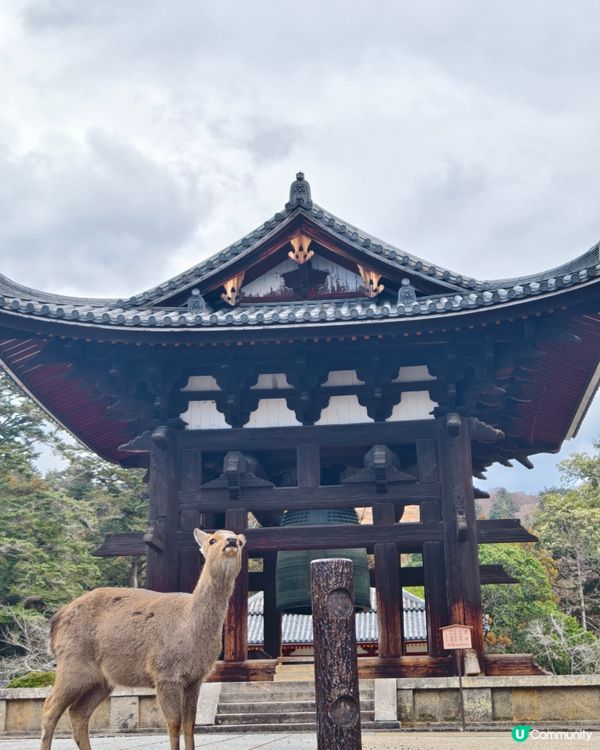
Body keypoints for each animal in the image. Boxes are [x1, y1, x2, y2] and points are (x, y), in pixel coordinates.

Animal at [40, 528, 246, 750]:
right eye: (212, 540)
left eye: (240, 541)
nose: (231, 541)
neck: (190, 630)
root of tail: (55, 622)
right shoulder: (165, 672)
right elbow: (174, 723)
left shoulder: (196, 678)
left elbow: (190, 725)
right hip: (72, 663)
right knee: (50, 707)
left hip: (100, 680)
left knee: (78, 712)